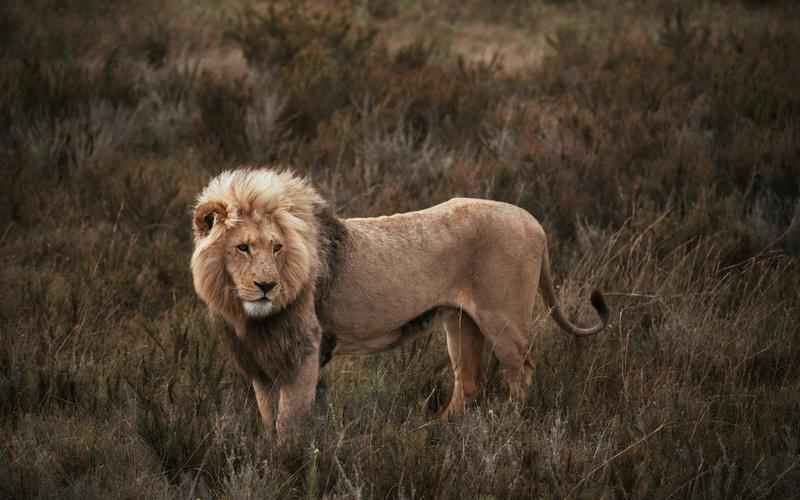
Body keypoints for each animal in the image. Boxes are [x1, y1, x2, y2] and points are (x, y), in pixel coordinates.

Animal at [191, 166, 608, 436]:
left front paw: (288, 464)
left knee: (521, 370)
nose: (266, 285)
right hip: (461, 322)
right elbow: (267, 417)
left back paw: (511, 425)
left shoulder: (305, 352)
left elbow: (288, 420)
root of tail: (533, 220)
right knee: (468, 382)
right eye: (243, 248)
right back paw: (434, 430)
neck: (250, 315)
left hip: (503, 320)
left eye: (277, 247)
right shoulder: (260, 359)